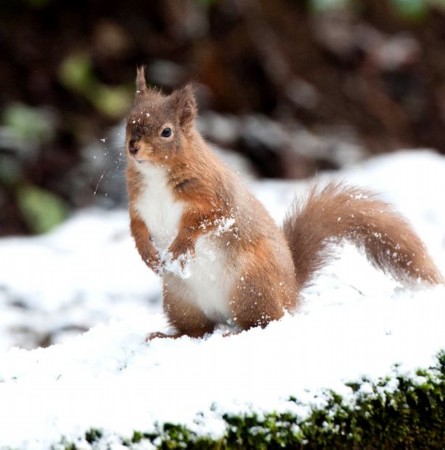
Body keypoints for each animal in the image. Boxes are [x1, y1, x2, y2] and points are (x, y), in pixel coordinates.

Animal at [124, 67, 440, 338]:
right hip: (180, 300)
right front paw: (147, 254)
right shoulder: (138, 205)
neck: (155, 176)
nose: (133, 147)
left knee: (264, 321)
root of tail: (290, 294)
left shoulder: (213, 195)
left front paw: (179, 247)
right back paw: (169, 336)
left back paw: (235, 331)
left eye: (166, 132)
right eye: (129, 123)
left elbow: (203, 221)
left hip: (251, 285)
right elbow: (137, 229)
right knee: (198, 330)